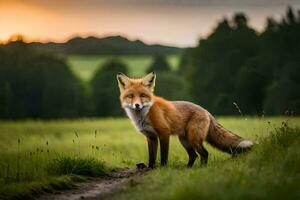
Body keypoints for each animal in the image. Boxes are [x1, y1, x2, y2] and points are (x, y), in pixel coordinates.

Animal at [116, 71, 252, 168]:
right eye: (130, 96)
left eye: (143, 95)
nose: (137, 105)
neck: (144, 115)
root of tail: (206, 111)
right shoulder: (151, 137)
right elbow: (152, 156)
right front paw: (150, 168)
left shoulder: (164, 133)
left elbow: (163, 155)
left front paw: (163, 168)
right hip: (184, 140)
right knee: (194, 155)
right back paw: (188, 168)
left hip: (193, 138)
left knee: (204, 153)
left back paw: (201, 169)